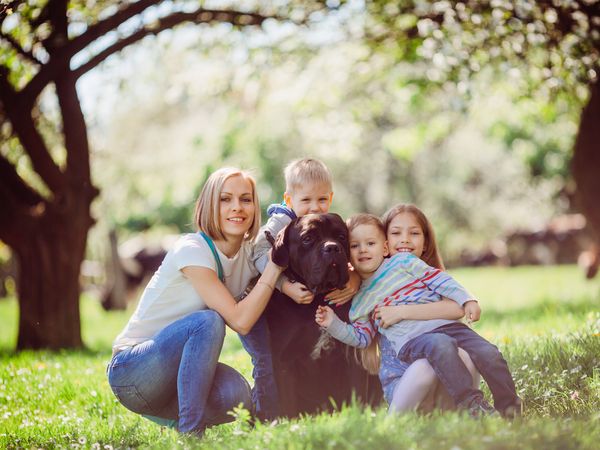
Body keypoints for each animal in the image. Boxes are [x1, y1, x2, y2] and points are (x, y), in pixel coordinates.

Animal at [264, 213, 382, 416]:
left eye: (342, 236)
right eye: (307, 238)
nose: (332, 247)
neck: (316, 301)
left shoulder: (353, 354)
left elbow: (357, 392)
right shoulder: (283, 361)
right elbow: (288, 405)